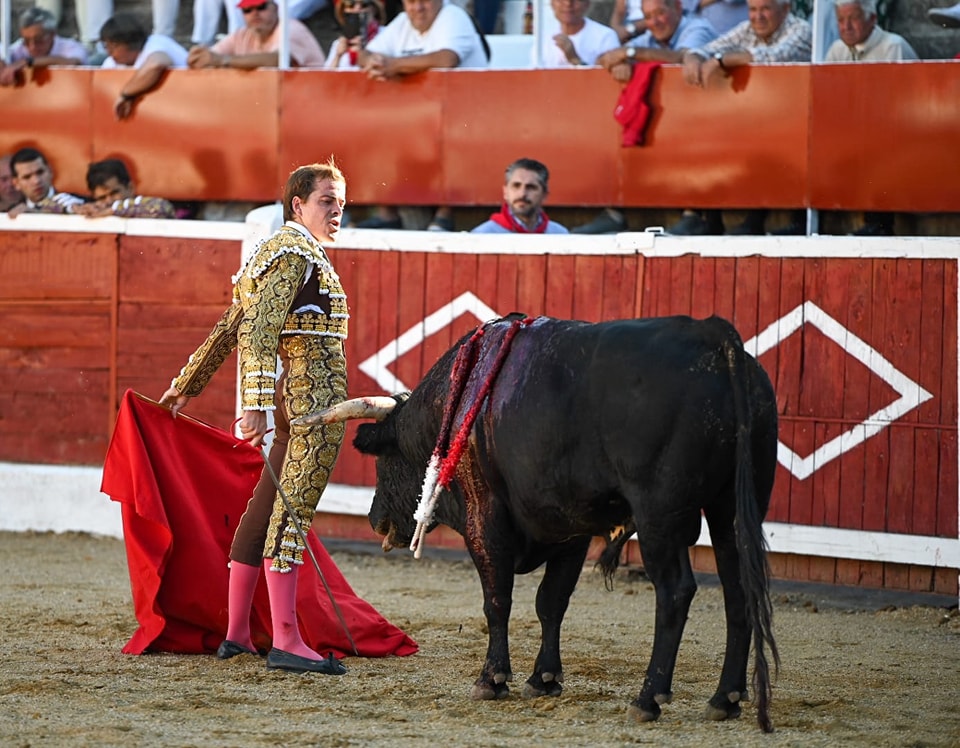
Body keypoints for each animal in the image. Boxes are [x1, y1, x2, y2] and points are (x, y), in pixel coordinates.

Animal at [304, 314, 784, 732]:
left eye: (383, 461)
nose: (375, 519)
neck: (456, 404)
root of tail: (715, 338)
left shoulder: (485, 517)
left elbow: (497, 599)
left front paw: (492, 679)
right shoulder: (570, 530)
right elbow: (551, 601)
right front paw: (544, 679)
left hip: (658, 517)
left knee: (675, 592)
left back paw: (648, 699)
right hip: (732, 508)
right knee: (738, 589)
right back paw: (725, 699)